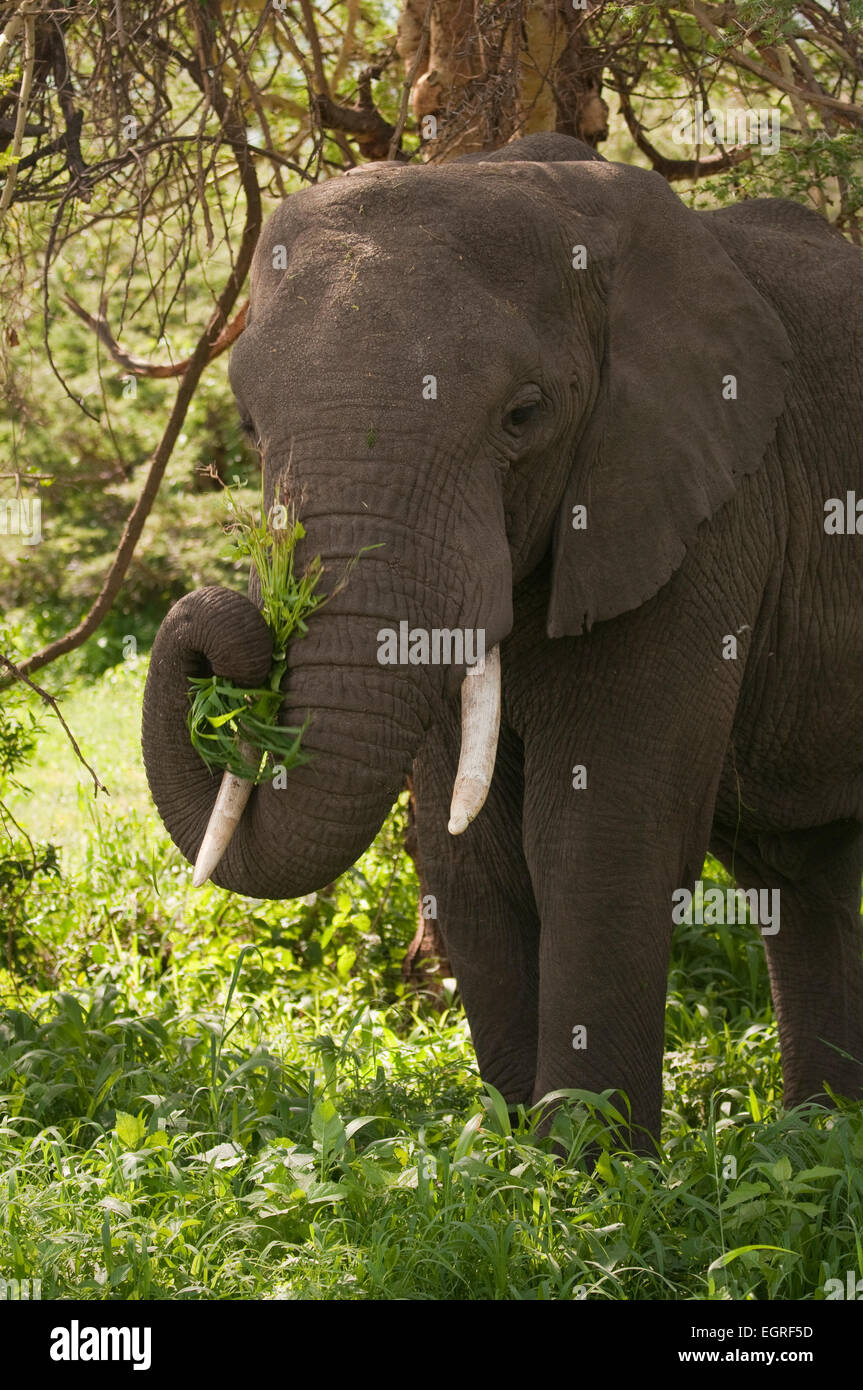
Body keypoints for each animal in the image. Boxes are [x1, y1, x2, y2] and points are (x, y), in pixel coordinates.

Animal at [142, 132, 863, 1147]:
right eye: (247, 423)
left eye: (523, 415)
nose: (238, 628)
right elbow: (473, 858)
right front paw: (517, 1161)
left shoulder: (703, 508)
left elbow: (598, 842)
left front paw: (588, 1170)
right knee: (800, 871)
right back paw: (814, 1143)